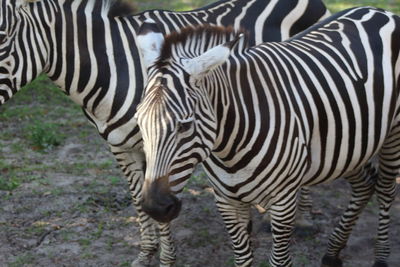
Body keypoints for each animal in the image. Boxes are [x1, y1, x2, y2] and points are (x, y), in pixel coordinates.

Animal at [0, 0, 328, 267]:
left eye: (2, 37)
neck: (114, 66)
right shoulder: (120, 147)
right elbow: (137, 198)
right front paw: (146, 253)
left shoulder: (160, 142)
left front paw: (167, 258)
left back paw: (304, 219)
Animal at [135, 5, 400, 267]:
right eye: (139, 122)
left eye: (185, 125)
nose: (155, 208)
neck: (228, 148)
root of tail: (378, 10)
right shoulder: (226, 201)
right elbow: (242, 258)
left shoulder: (283, 200)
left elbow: (279, 260)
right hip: (347, 145)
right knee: (365, 183)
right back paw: (333, 252)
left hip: (392, 134)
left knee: (386, 189)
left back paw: (381, 256)